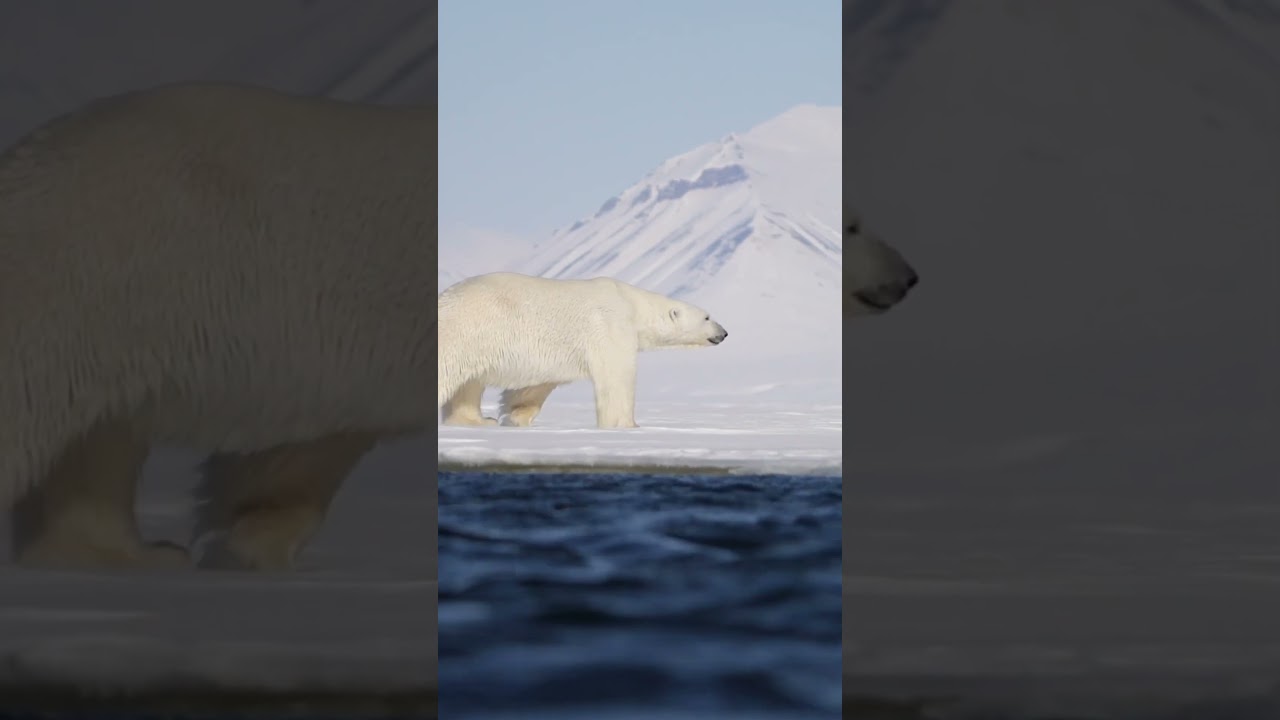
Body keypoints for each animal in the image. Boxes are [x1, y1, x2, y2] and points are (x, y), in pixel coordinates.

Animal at [438, 272, 727, 429]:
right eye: (707, 317)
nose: (724, 333)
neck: (632, 303)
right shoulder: (611, 326)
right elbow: (617, 376)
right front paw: (628, 425)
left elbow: (536, 384)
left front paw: (515, 415)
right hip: (465, 328)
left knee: (468, 384)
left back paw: (478, 420)